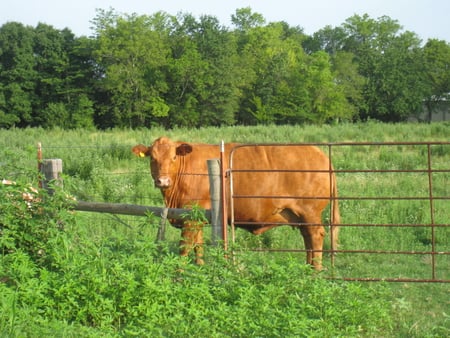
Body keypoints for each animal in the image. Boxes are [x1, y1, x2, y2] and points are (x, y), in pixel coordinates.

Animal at [132, 136, 340, 270]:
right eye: (153, 158)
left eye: (174, 157)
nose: (163, 181)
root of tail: (320, 154)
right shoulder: (196, 216)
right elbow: (198, 245)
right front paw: (199, 268)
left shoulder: (191, 216)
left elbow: (185, 247)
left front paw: (179, 273)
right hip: (300, 214)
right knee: (308, 239)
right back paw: (308, 268)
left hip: (309, 211)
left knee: (315, 236)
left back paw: (315, 271)